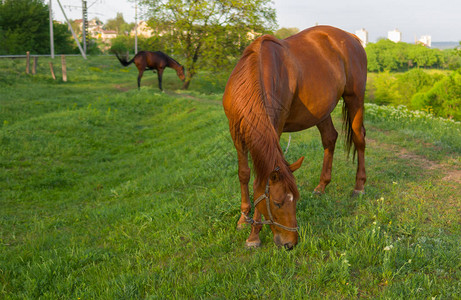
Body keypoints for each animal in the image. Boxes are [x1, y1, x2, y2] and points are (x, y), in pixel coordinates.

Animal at [223, 25, 366, 250]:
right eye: (278, 203)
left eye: (296, 201)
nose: (290, 243)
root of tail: (352, 38)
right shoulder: (236, 133)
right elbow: (244, 174)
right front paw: (243, 219)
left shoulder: (276, 127)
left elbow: (258, 181)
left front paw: (254, 235)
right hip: (321, 111)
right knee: (330, 138)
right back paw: (322, 186)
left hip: (355, 99)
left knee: (359, 139)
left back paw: (359, 187)